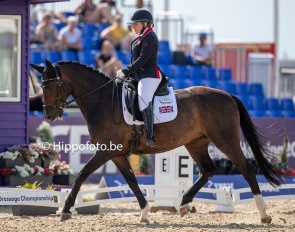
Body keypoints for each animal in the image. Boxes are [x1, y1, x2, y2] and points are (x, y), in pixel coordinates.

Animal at [31, 60, 286, 225]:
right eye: (41, 86)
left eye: (49, 86)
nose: (49, 114)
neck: (102, 100)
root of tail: (227, 95)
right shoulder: (116, 154)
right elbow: (132, 181)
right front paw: (144, 214)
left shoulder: (105, 151)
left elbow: (82, 174)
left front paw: (65, 210)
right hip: (196, 143)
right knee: (208, 169)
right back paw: (184, 204)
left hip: (225, 139)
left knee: (246, 169)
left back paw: (264, 214)